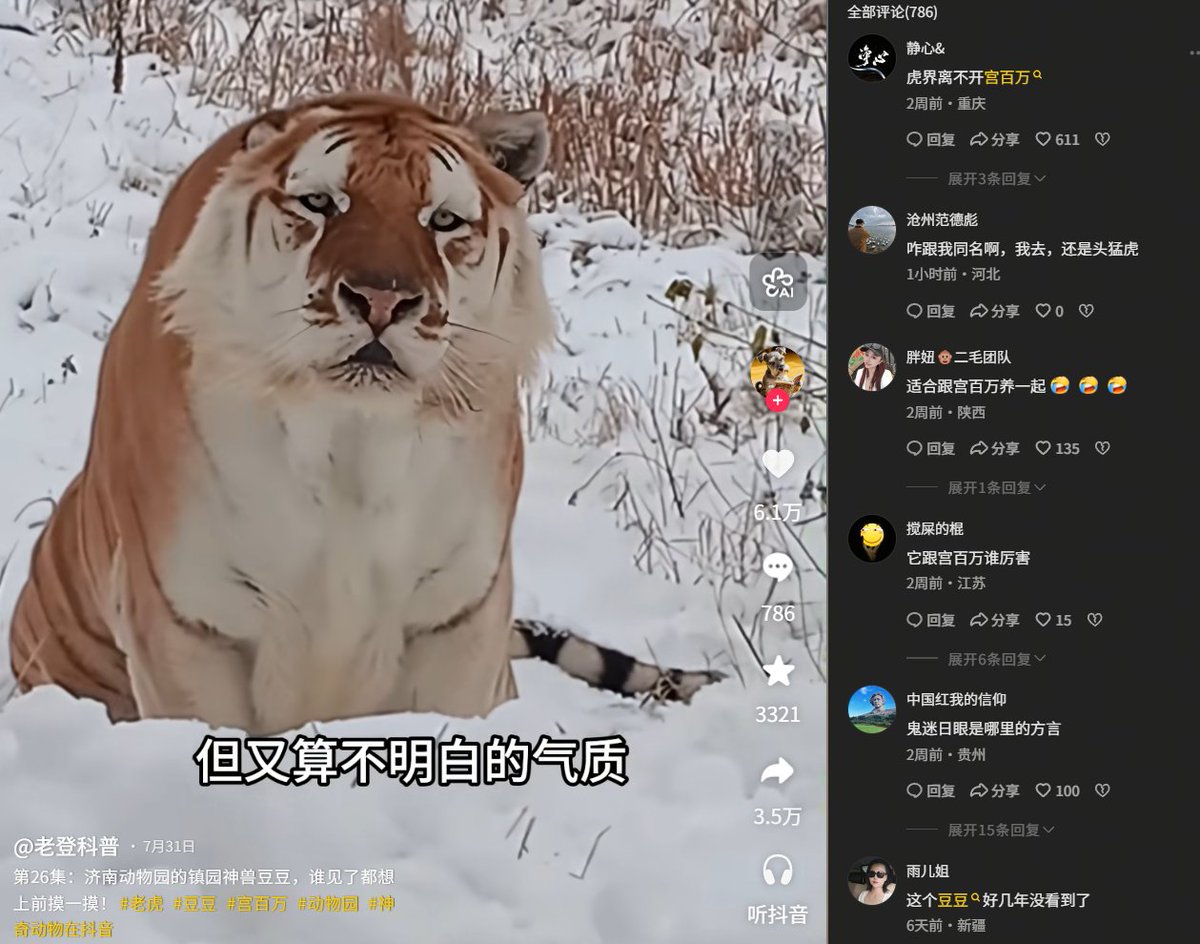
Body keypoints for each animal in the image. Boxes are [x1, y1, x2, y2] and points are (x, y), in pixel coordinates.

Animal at [6, 91, 723, 736]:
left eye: (443, 220)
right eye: (322, 203)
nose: (381, 299)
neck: (353, 442)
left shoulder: (456, 617)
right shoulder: (189, 619)